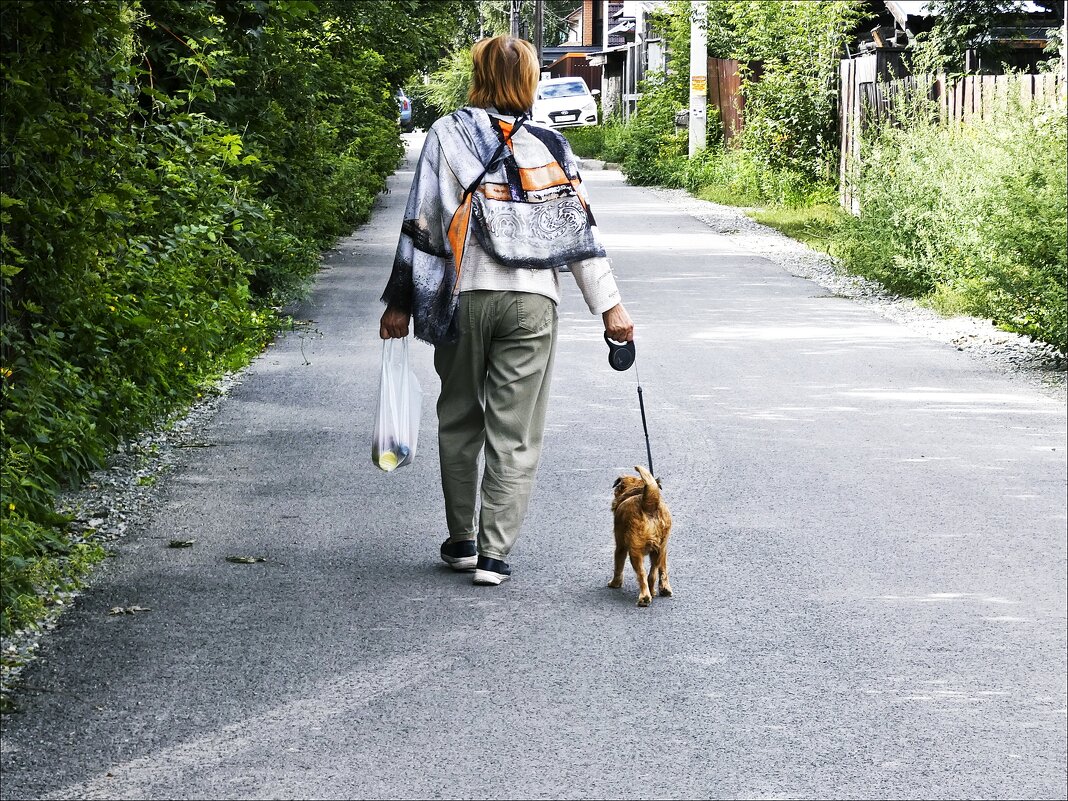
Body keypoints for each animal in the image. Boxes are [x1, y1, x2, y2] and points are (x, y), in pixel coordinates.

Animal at [610, 467, 674, 606]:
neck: (636, 490)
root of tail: (649, 504)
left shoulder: (620, 546)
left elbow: (618, 566)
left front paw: (615, 583)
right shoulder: (664, 550)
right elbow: (663, 568)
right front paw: (664, 588)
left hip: (635, 552)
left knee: (642, 574)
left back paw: (644, 597)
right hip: (658, 550)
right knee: (652, 573)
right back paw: (653, 592)